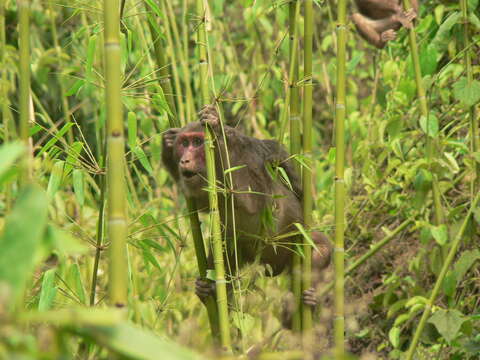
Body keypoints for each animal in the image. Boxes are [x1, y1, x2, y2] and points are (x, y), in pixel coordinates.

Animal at [161, 105, 330, 314]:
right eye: (184, 143)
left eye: (198, 142)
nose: (184, 160)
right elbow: (202, 203)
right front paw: (168, 142)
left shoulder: (250, 156)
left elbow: (253, 199)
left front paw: (217, 129)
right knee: (224, 249)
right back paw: (209, 291)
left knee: (319, 248)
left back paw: (311, 301)